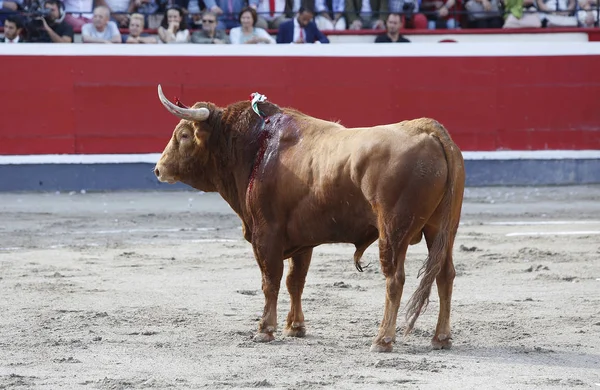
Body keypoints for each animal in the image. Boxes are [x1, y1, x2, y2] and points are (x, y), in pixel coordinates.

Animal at [152, 86, 466, 354]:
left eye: (183, 135)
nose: (158, 169)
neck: (256, 148)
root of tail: (427, 128)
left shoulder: (266, 234)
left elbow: (270, 281)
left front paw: (265, 329)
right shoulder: (301, 240)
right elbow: (296, 280)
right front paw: (295, 327)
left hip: (394, 229)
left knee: (395, 278)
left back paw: (383, 339)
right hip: (442, 229)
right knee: (445, 274)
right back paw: (441, 338)